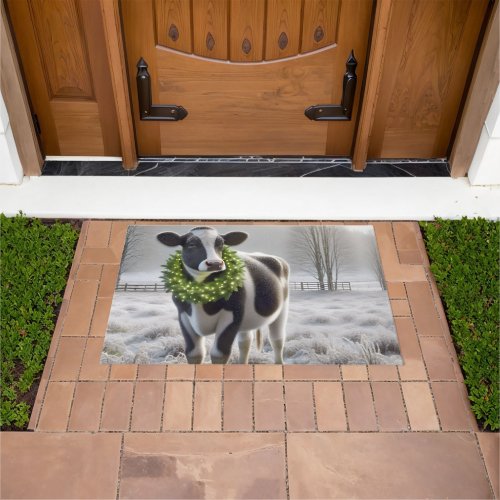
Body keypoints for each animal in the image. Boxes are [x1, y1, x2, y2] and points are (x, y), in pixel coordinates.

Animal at [156, 227, 290, 364]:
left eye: (220, 244)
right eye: (191, 244)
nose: (215, 263)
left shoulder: (232, 315)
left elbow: (219, 354)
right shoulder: (183, 315)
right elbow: (194, 353)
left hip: (282, 309)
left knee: (277, 340)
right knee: (245, 341)